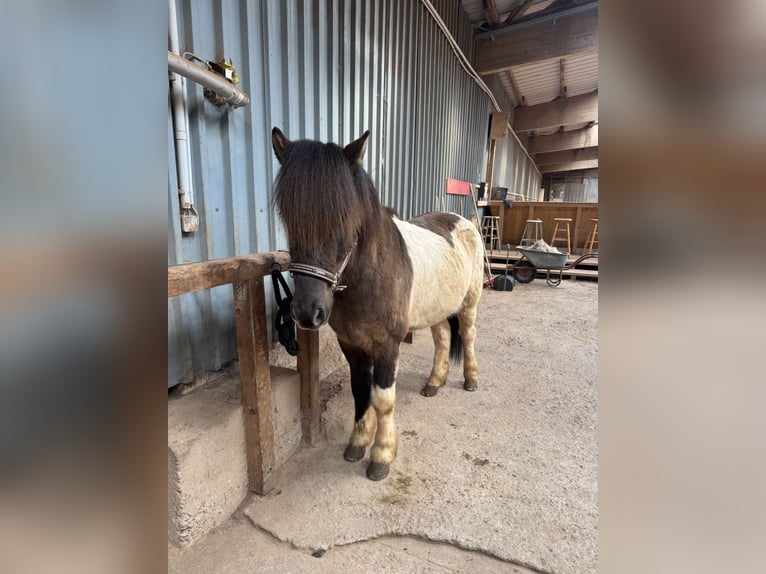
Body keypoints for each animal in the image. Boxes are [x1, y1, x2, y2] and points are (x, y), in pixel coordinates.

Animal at [271, 128, 483, 481]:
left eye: (344, 221)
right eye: (289, 218)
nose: (307, 312)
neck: (368, 276)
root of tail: (462, 221)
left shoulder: (387, 345)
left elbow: (383, 399)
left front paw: (382, 455)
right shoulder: (351, 344)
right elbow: (361, 391)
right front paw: (358, 443)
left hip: (468, 304)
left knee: (466, 336)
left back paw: (470, 380)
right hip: (437, 308)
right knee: (442, 339)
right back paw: (434, 382)